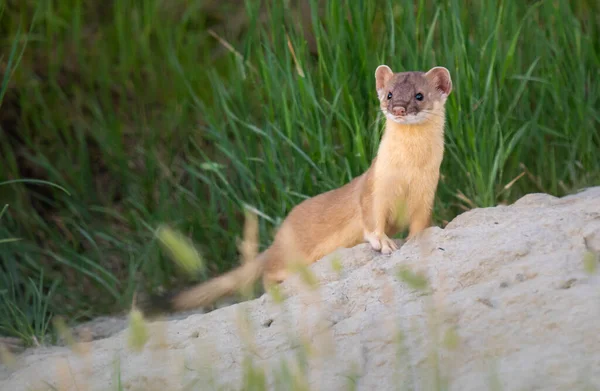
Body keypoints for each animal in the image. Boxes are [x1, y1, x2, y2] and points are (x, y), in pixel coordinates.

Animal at [145, 64, 452, 316]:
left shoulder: (428, 190)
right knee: (268, 272)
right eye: (388, 94)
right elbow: (371, 217)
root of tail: (278, 240)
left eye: (419, 95)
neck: (409, 172)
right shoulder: (374, 186)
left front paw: (416, 238)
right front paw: (384, 242)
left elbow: (420, 221)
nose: (398, 107)